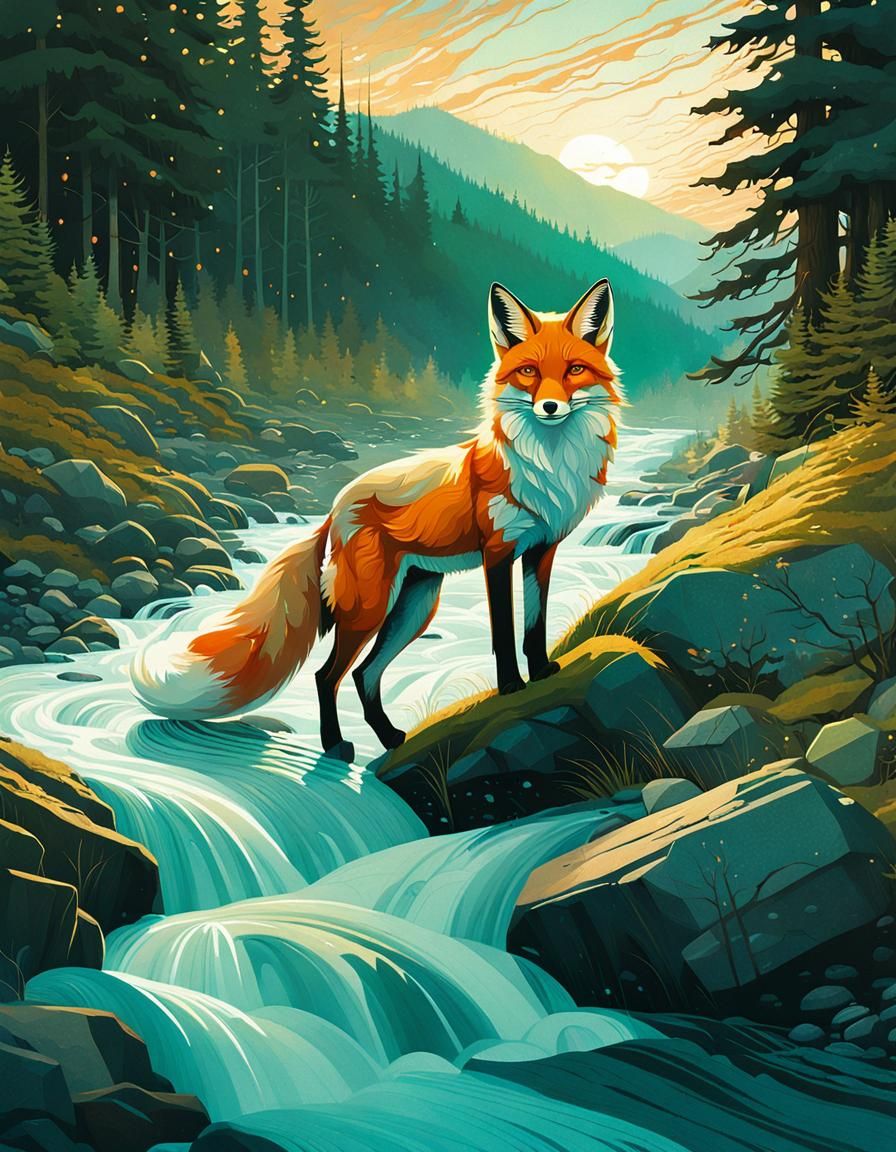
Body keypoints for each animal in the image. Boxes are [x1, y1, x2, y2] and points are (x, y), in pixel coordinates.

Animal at [131, 279, 621, 761]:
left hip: (413, 606)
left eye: (575, 370)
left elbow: (534, 625)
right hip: (370, 608)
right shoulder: (497, 554)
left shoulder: (542, 550)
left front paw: (540, 673)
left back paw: (388, 740)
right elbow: (504, 631)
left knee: (363, 674)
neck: (549, 466)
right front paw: (512, 687)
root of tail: (333, 509)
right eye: (529, 373)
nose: (550, 407)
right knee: (327, 674)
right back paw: (336, 747)